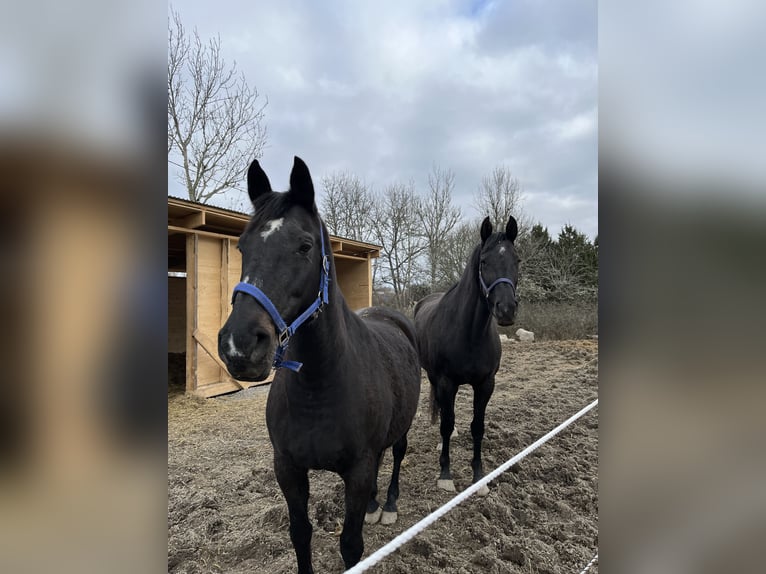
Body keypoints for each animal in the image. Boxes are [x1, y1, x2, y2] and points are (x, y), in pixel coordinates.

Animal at [218, 155, 420, 572]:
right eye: (242, 247)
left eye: (305, 246)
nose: (239, 346)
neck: (317, 387)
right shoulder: (288, 469)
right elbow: (300, 534)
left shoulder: (356, 472)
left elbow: (351, 546)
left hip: (402, 428)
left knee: (395, 456)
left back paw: (389, 505)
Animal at [414, 217, 520, 500]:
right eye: (484, 262)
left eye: (517, 260)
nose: (506, 310)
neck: (470, 332)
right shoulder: (446, 382)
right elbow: (446, 423)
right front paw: (445, 475)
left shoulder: (485, 384)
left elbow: (477, 426)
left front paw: (479, 478)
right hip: (433, 377)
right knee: (442, 412)